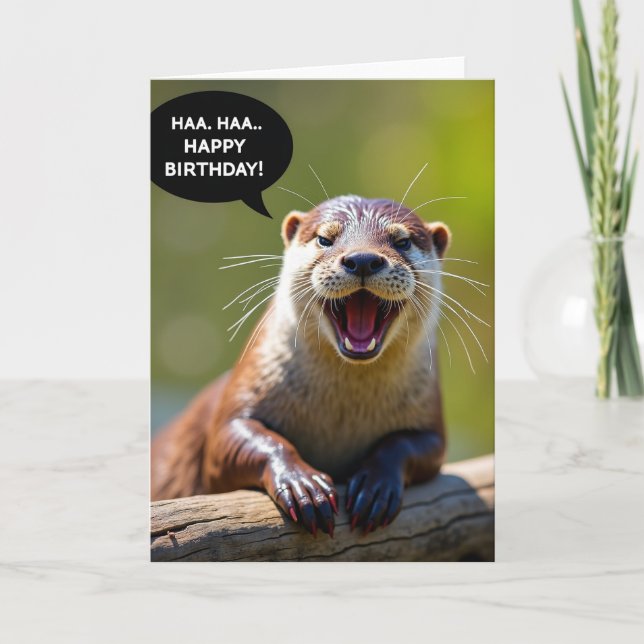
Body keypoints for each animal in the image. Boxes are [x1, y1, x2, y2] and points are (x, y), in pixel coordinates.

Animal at [152, 195, 451, 537]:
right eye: (324, 239)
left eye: (402, 241)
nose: (362, 259)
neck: (341, 417)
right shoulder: (243, 391)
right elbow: (234, 436)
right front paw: (302, 485)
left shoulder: (430, 418)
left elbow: (413, 445)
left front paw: (375, 486)